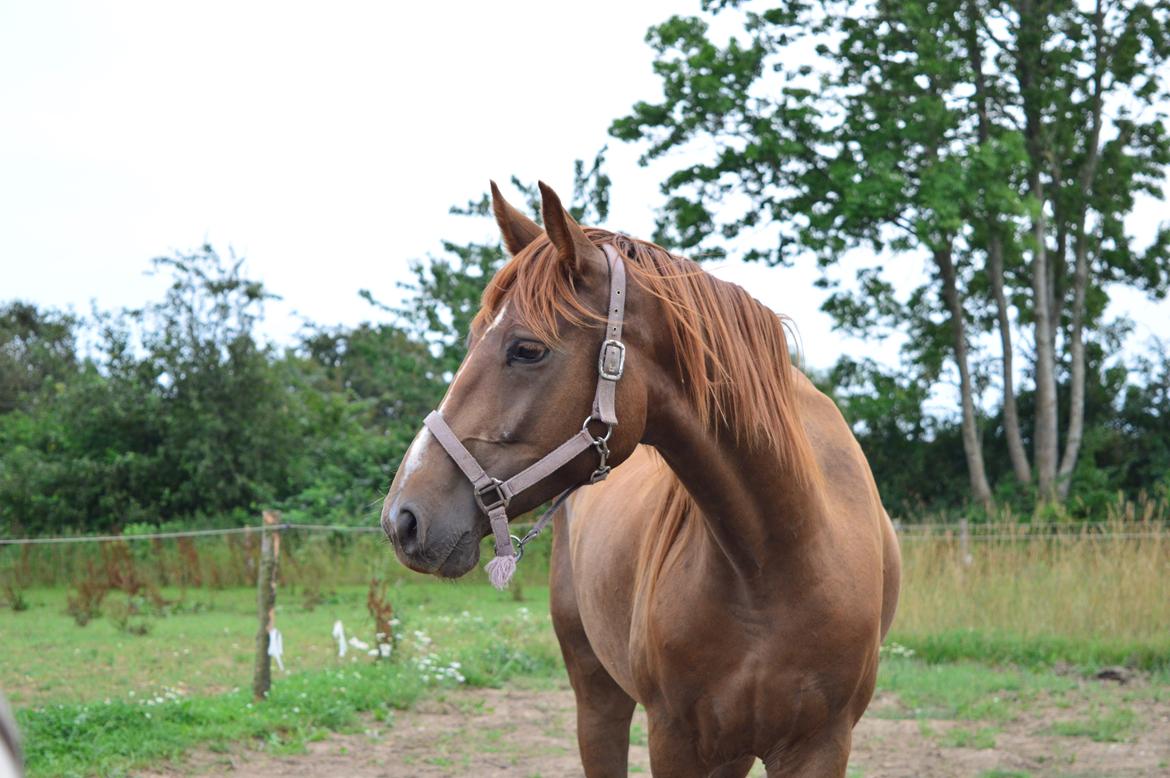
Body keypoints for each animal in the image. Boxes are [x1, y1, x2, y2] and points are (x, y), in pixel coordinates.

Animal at [383, 178, 903, 772]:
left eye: (527, 349)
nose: (403, 519)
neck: (777, 555)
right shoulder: (675, 738)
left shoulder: (820, 745)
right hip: (597, 693)